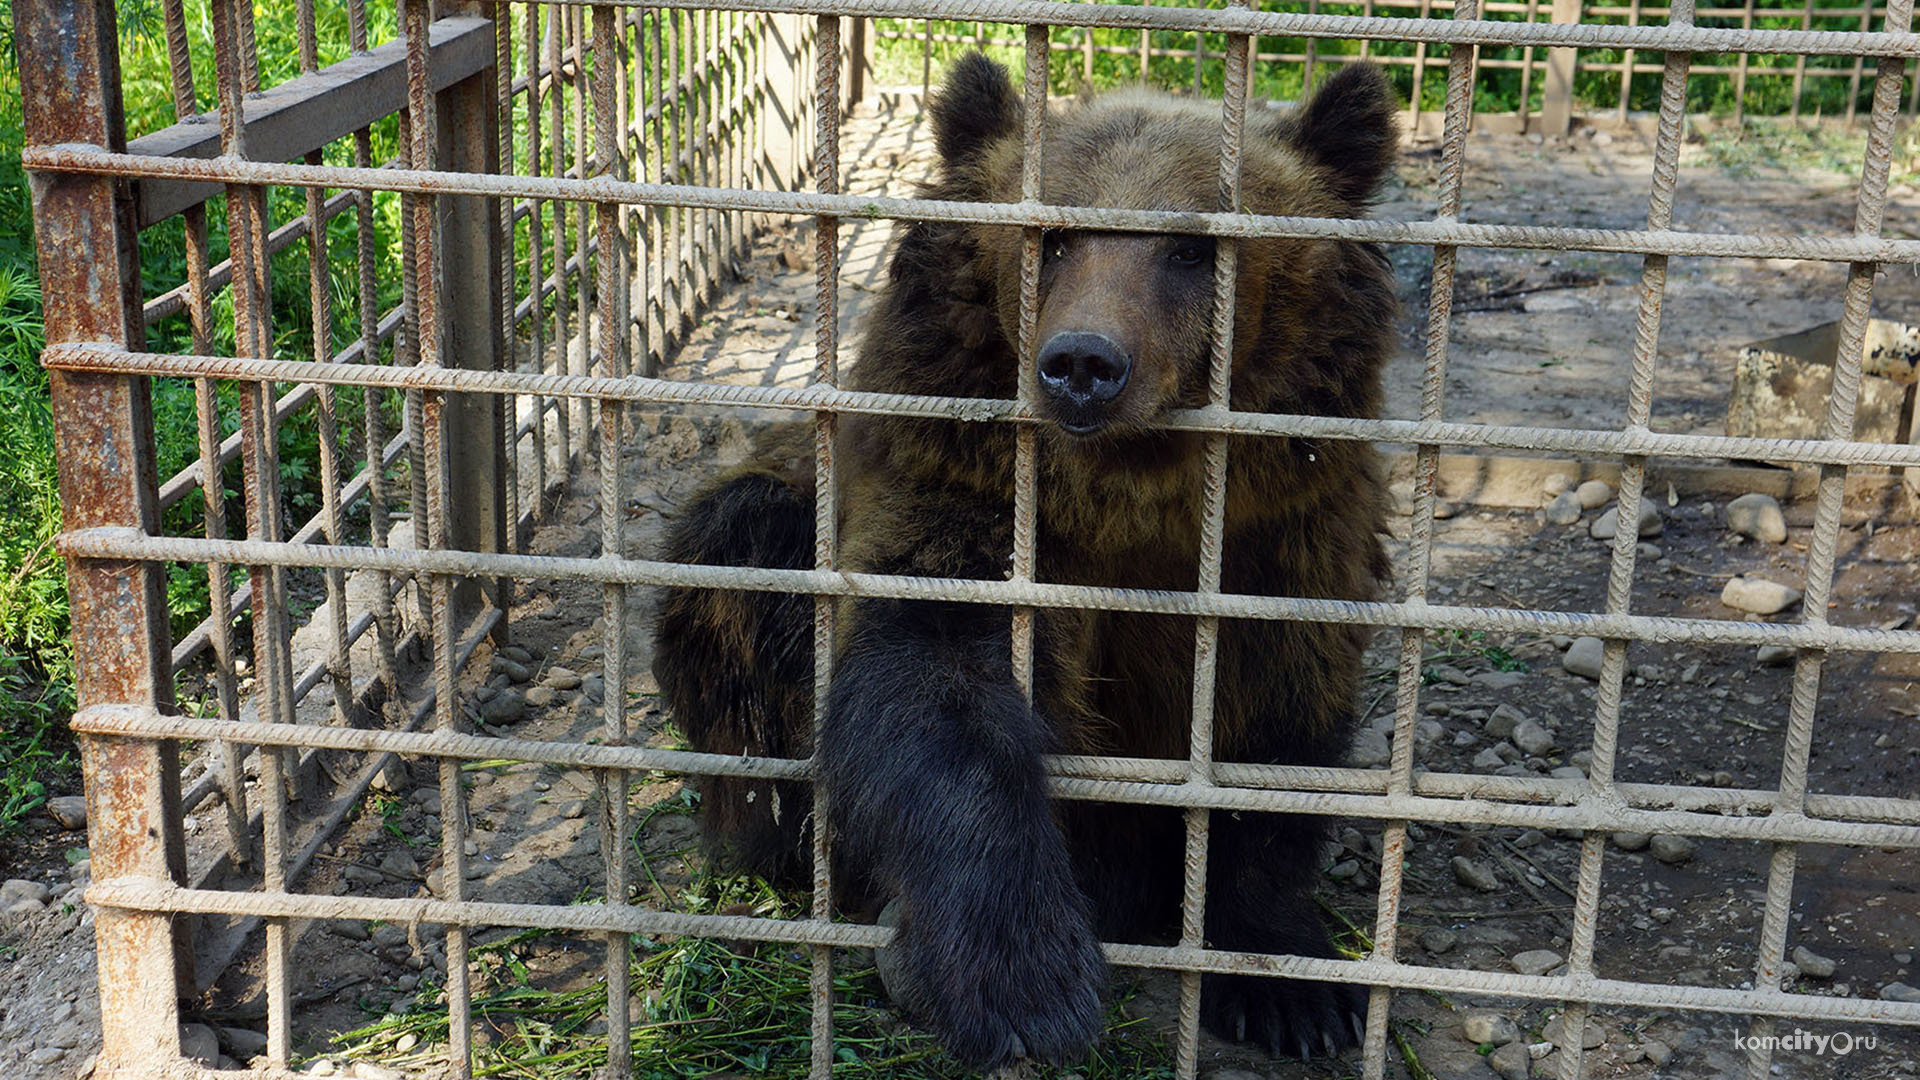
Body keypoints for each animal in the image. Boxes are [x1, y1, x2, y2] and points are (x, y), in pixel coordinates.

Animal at [656, 52, 1397, 1068]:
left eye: (1191, 248)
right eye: (1053, 238)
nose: (1083, 363)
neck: (1132, 493)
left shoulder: (1290, 532)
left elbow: (1276, 729)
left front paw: (1292, 988)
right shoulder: (960, 482)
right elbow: (932, 677)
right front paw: (1021, 978)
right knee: (736, 564)